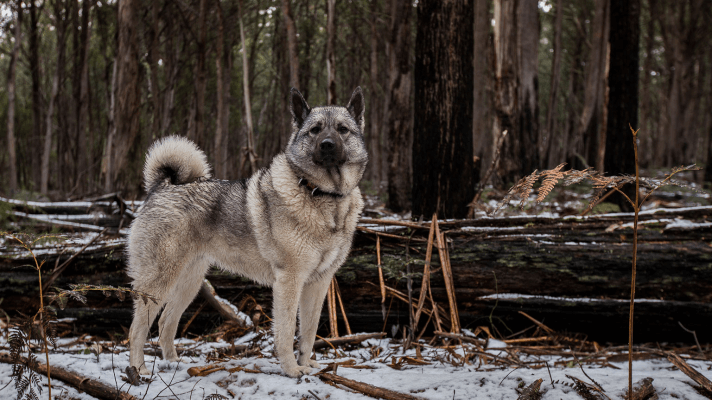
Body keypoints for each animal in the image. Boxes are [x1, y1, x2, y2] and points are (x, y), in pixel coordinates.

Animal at [129, 86, 370, 376]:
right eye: (315, 130)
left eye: (343, 129)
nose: (327, 145)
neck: (323, 195)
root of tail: (162, 187)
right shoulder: (289, 280)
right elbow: (286, 332)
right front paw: (292, 370)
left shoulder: (318, 282)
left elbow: (309, 332)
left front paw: (306, 364)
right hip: (159, 281)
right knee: (137, 328)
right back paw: (138, 370)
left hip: (190, 281)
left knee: (166, 321)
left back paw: (173, 363)